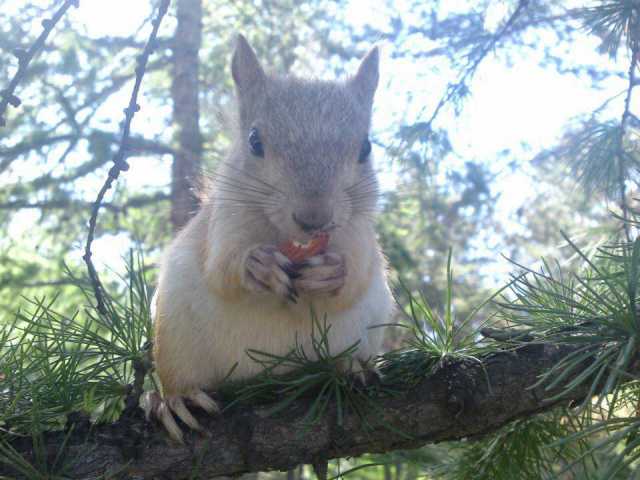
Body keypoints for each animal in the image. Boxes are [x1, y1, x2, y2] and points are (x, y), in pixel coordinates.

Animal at [144, 35, 392, 444]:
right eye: (254, 141)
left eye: (366, 147)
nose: (313, 218)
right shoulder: (223, 223)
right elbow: (221, 269)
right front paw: (256, 266)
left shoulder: (360, 234)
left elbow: (356, 276)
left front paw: (332, 272)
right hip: (176, 338)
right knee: (178, 376)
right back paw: (175, 401)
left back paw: (351, 365)